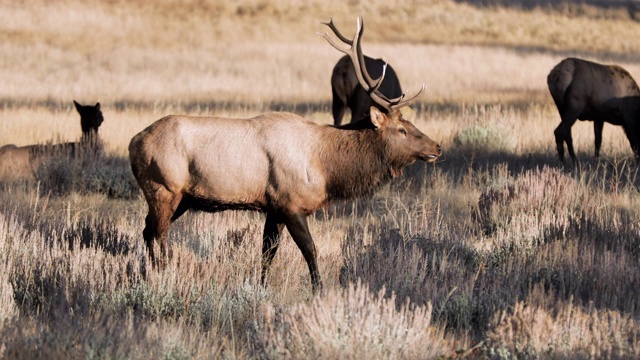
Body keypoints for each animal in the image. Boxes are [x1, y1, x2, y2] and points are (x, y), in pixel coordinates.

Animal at [128, 16, 442, 292]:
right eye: (401, 129)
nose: (436, 147)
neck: (325, 168)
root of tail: (134, 142)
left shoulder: (273, 206)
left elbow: (268, 252)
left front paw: (262, 287)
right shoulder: (291, 203)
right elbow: (310, 250)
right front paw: (319, 290)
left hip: (182, 197)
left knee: (146, 230)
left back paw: (147, 274)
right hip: (164, 188)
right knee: (159, 234)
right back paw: (163, 274)